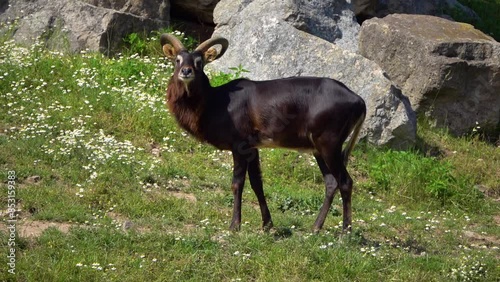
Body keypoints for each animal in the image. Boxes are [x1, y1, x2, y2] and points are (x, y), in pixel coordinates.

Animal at [162, 33, 366, 231]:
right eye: (177, 59)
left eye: (199, 61)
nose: (186, 71)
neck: (216, 102)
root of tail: (359, 100)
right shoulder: (253, 148)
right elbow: (257, 183)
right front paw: (267, 225)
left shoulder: (239, 145)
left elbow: (237, 183)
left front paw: (234, 226)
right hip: (318, 149)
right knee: (331, 182)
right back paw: (315, 228)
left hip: (329, 144)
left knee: (345, 182)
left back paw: (345, 232)